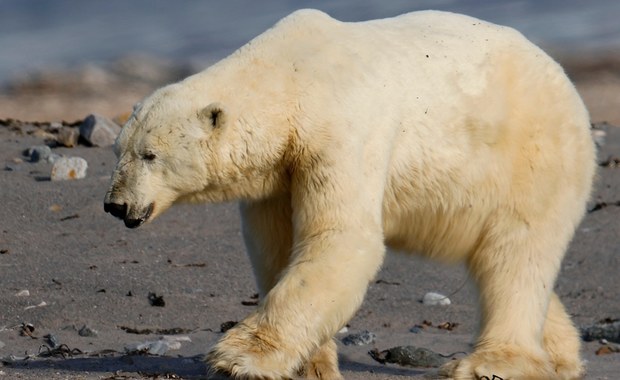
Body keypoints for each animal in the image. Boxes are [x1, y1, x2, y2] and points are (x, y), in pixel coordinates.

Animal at [105, 8, 596, 380]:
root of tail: (566, 82)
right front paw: (311, 365)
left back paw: (490, 363)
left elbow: (341, 238)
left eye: (150, 154)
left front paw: (238, 357)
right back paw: (560, 355)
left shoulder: (340, 132)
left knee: (515, 254)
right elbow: (277, 249)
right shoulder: (279, 175)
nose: (115, 204)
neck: (294, 76)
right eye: (119, 150)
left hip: (530, 156)